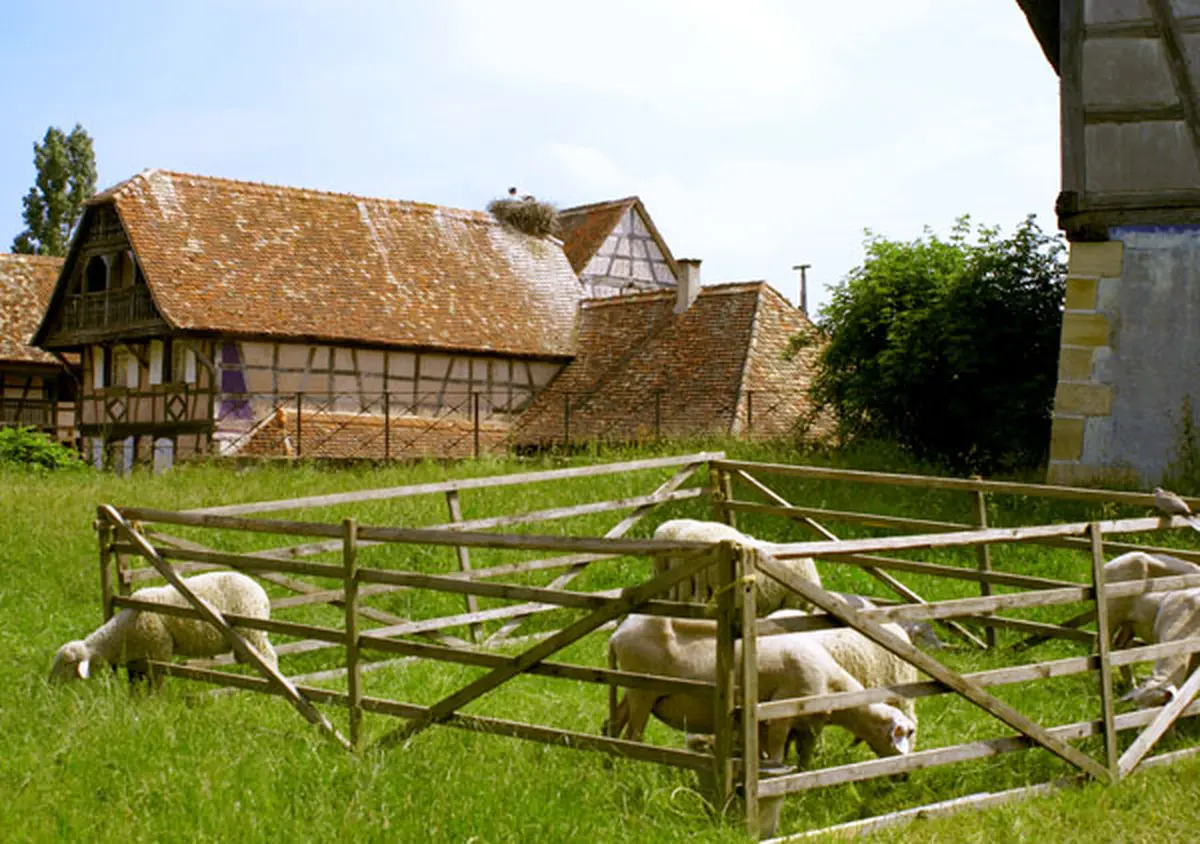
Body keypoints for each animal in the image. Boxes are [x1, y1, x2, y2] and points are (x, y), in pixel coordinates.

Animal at [50, 571, 277, 686]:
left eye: (67, 664)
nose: (50, 684)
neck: (123, 632)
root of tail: (262, 593)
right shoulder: (138, 658)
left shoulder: (160, 650)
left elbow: (157, 681)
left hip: (253, 634)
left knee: (269, 659)